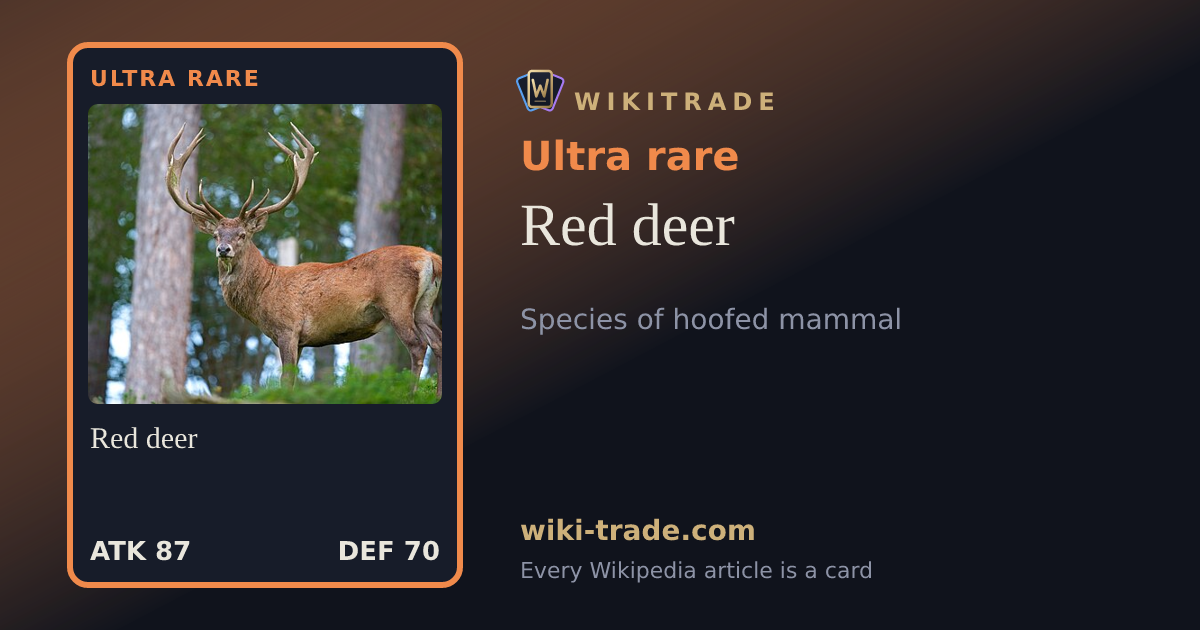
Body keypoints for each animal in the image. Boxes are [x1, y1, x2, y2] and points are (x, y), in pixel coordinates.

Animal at [165, 123, 443, 399]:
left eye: (242, 234)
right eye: (215, 235)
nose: (223, 249)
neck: (264, 291)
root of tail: (431, 258)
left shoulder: (288, 329)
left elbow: (286, 380)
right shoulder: (298, 339)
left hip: (396, 302)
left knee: (418, 345)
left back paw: (411, 395)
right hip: (424, 305)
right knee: (438, 340)